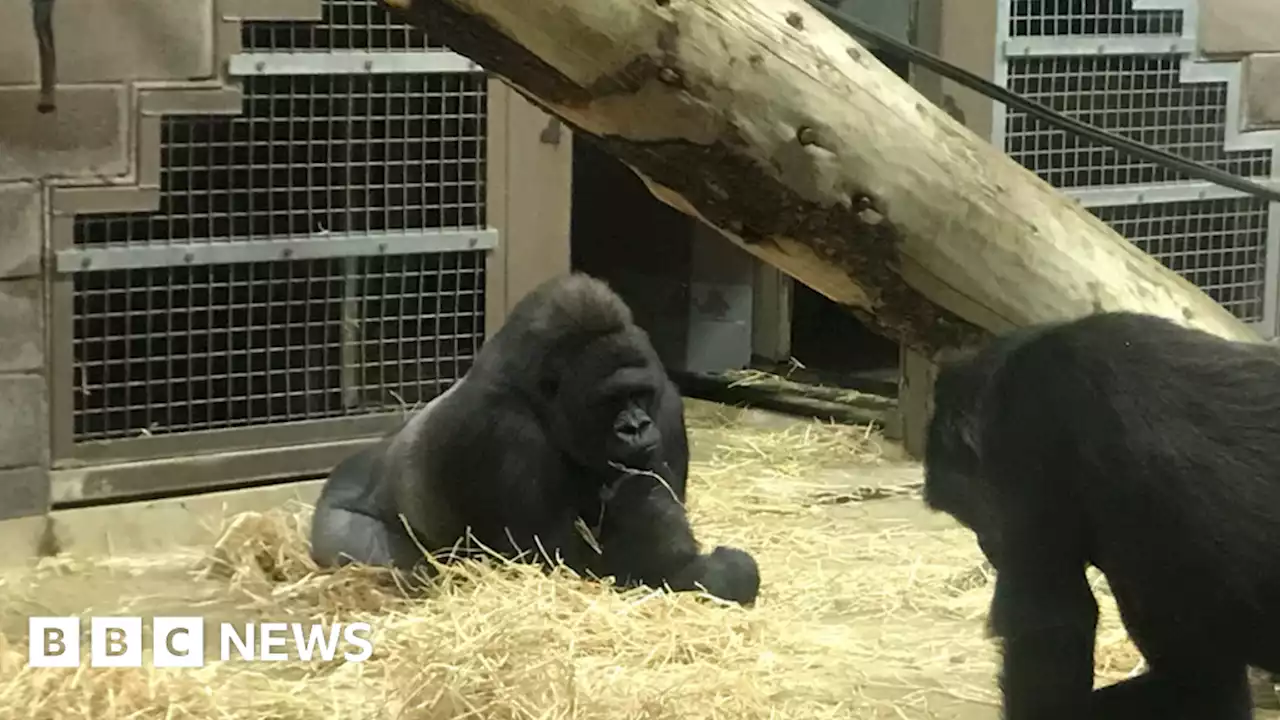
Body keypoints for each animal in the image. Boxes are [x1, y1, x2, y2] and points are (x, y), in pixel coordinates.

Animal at [309, 271, 757, 602]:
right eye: (608, 401)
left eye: (638, 394)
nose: (635, 427)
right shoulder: (505, 432)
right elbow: (559, 560)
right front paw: (715, 572)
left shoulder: (665, 404)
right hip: (334, 523)